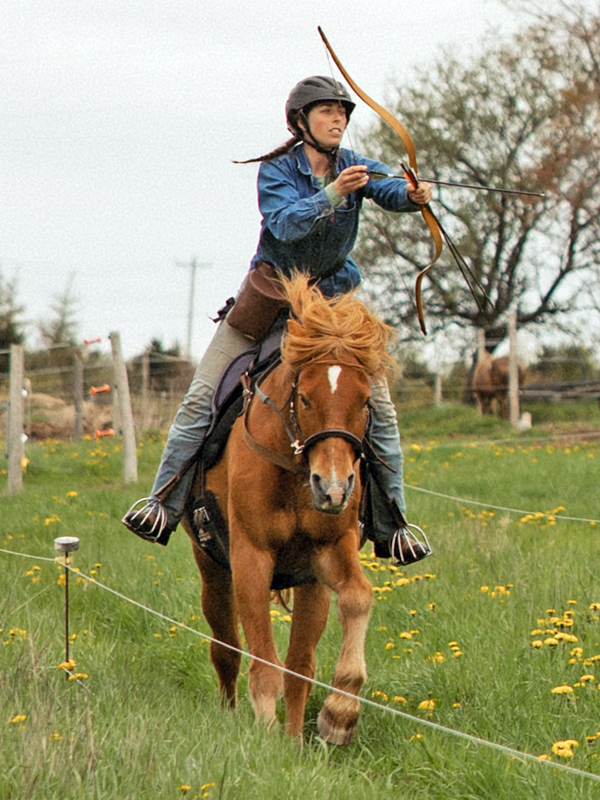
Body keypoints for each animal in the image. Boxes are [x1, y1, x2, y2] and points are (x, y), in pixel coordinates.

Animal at [180, 274, 394, 744]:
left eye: (365, 401)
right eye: (307, 399)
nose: (333, 488)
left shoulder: (329, 551)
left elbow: (356, 599)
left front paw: (336, 717)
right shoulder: (251, 558)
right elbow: (264, 663)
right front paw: (265, 738)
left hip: (310, 586)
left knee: (299, 665)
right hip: (211, 568)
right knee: (226, 649)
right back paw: (231, 714)